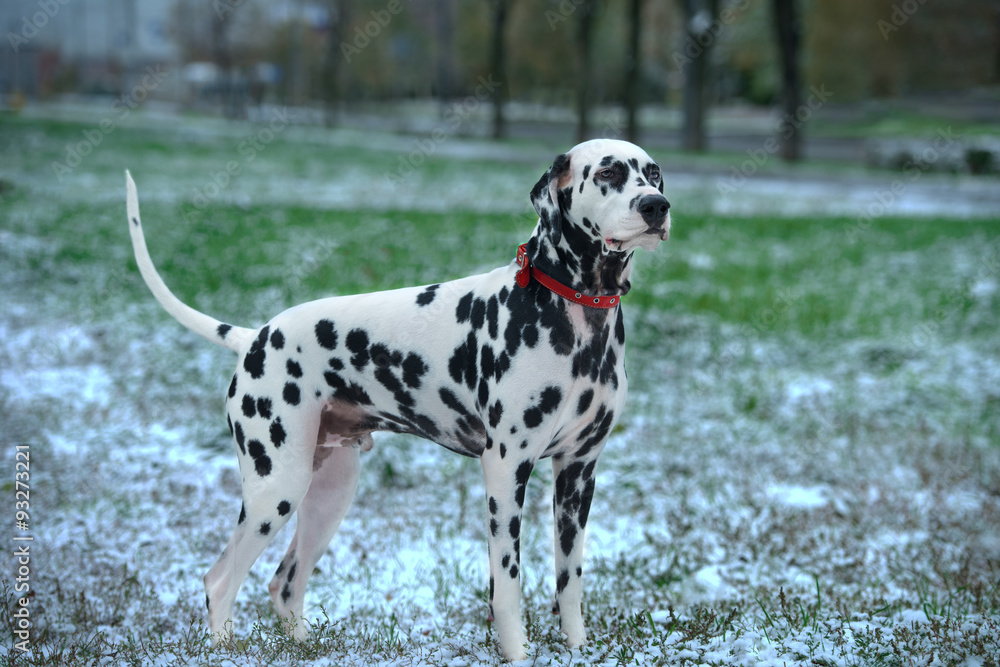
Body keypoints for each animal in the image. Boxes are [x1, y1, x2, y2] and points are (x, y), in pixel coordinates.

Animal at [125, 138, 672, 660]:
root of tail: (254, 337)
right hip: (275, 488)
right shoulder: (505, 468)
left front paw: (578, 649)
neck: (573, 314)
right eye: (607, 171)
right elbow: (508, 585)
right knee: (220, 582)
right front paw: (518, 654)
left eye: (654, 173)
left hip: (327, 494)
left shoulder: (578, 472)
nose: (656, 206)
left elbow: (569, 581)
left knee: (285, 584)